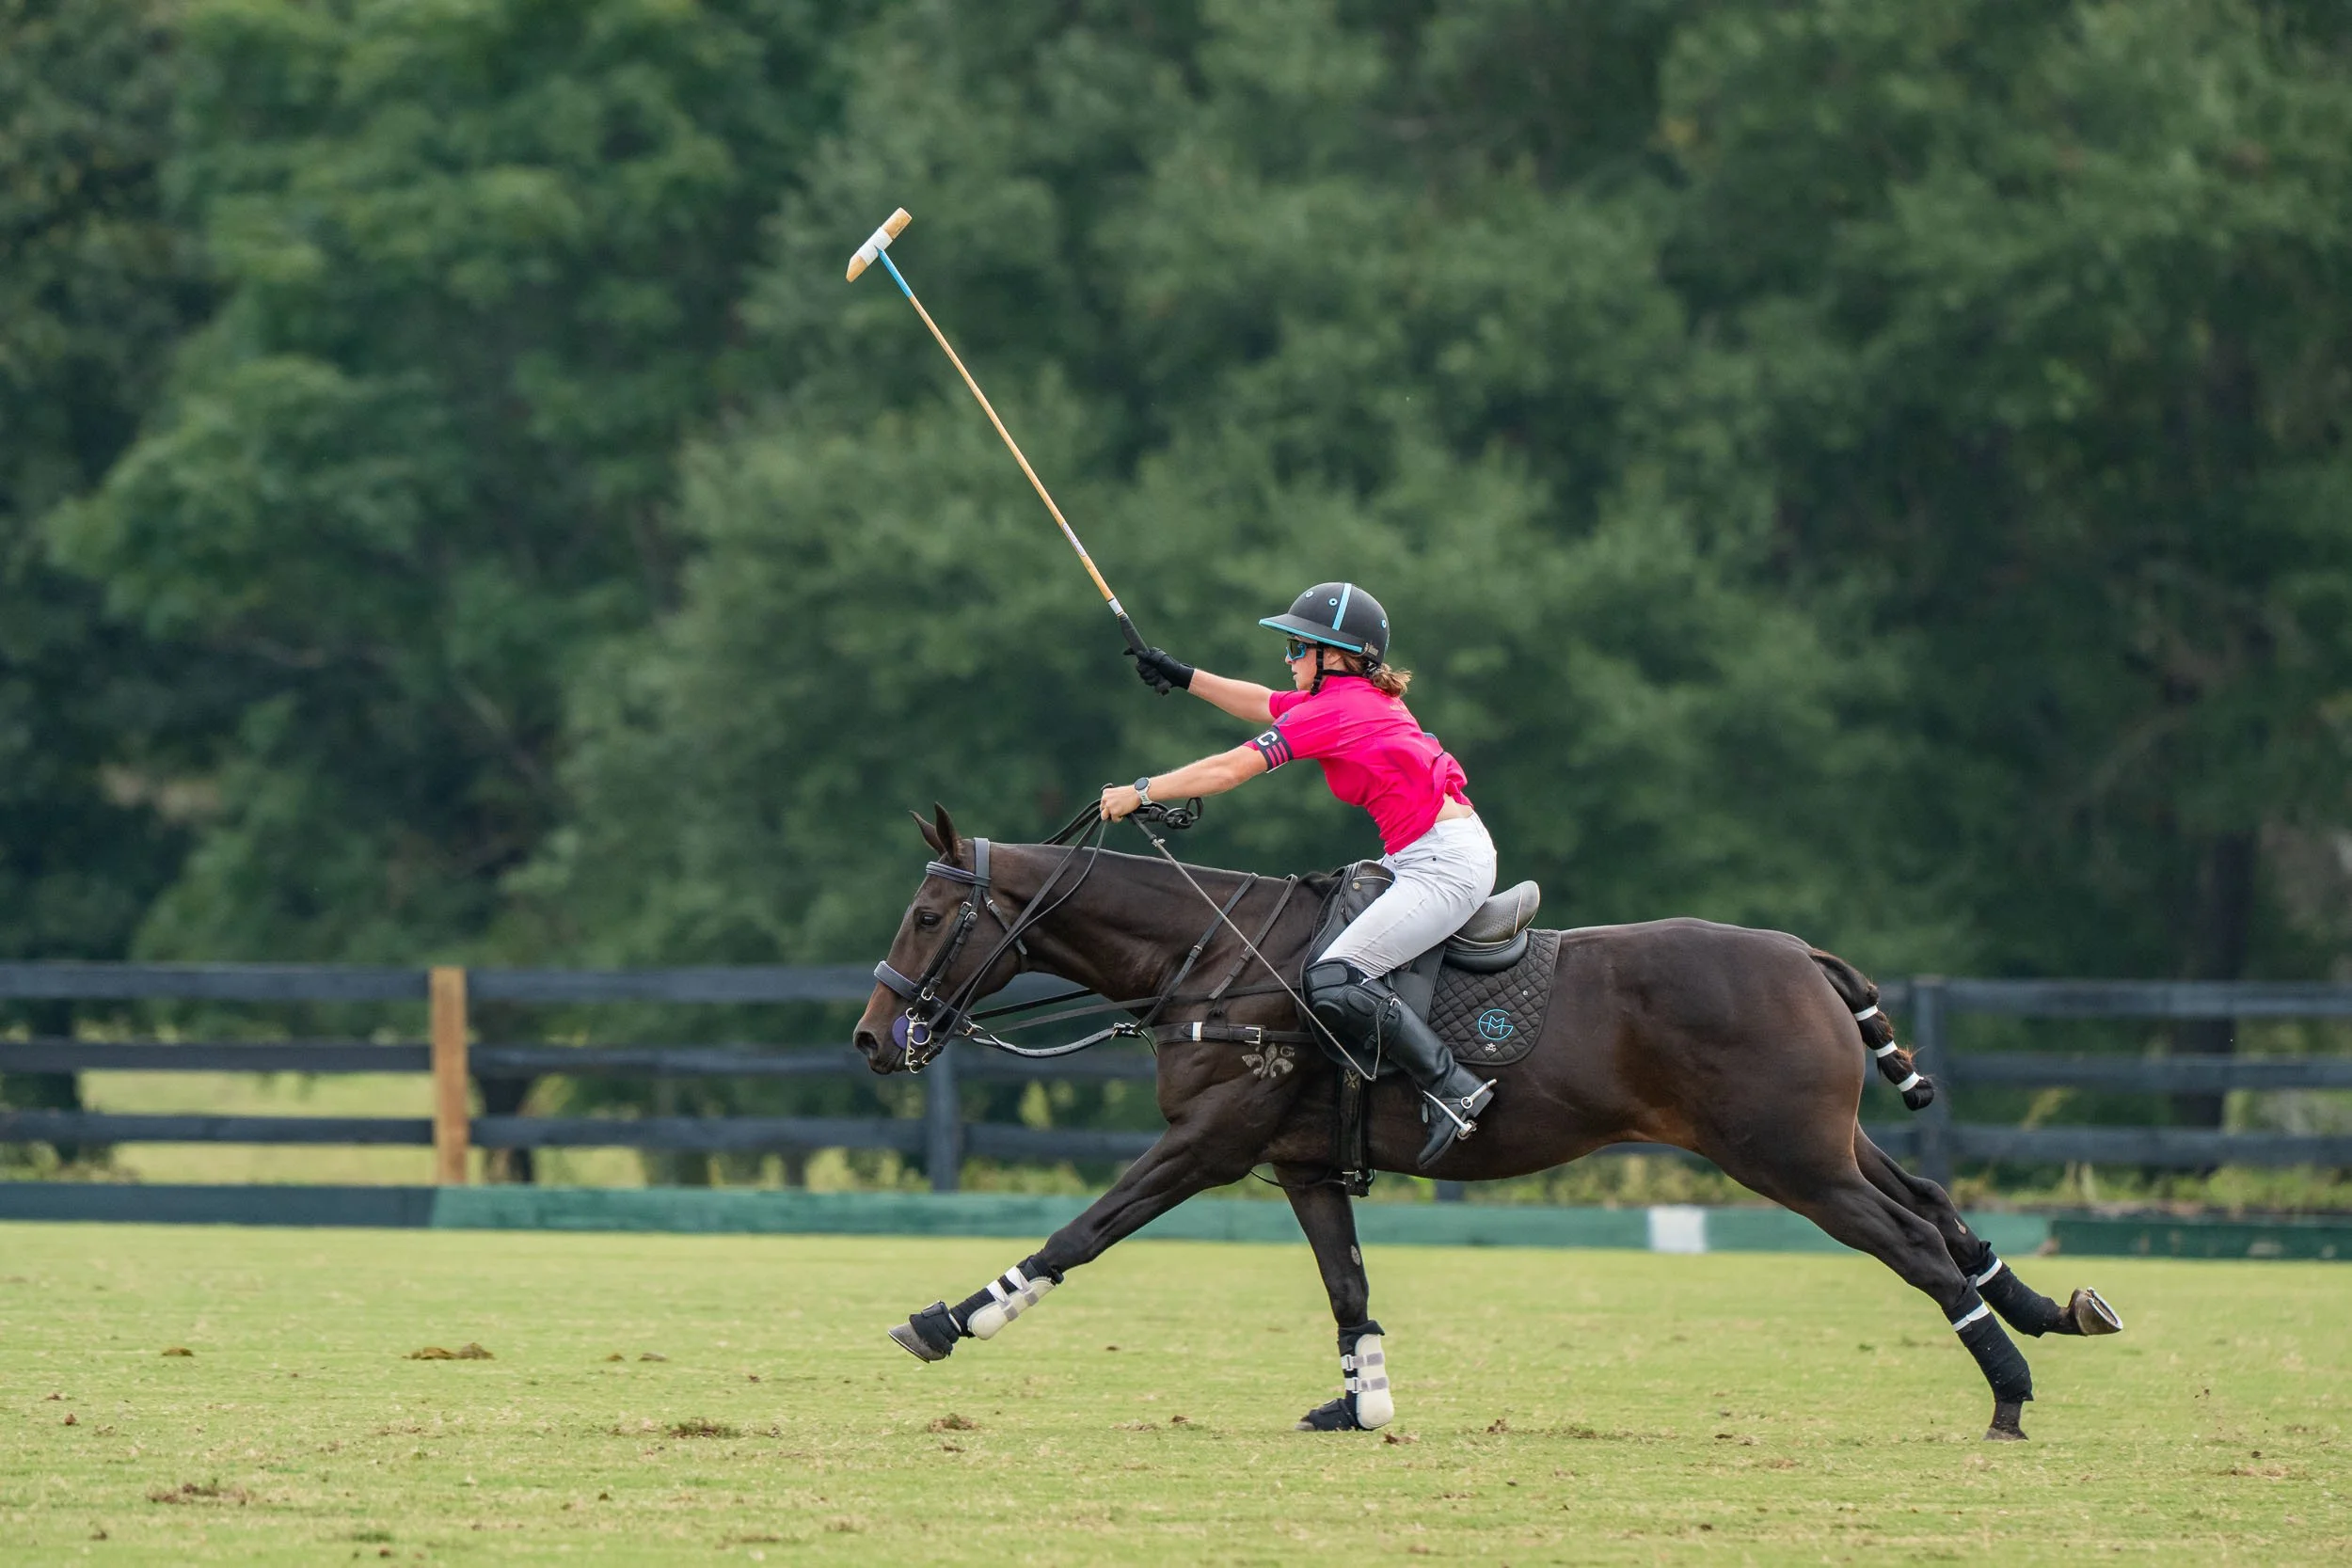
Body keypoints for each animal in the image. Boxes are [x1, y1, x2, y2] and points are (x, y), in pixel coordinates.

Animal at [852, 806, 2120, 1441]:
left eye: (928, 913)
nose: (873, 1036)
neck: (1210, 957)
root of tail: (1801, 953)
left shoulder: (1208, 1141)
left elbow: (1083, 1230)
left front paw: (947, 1318)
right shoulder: (1300, 1164)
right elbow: (1348, 1287)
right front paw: (1359, 1402)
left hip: (1783, 1158)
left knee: (1909, 1240)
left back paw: (2009, 1392)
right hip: (1821, 1139)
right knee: (1938, 1206)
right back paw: (2053, 1309)